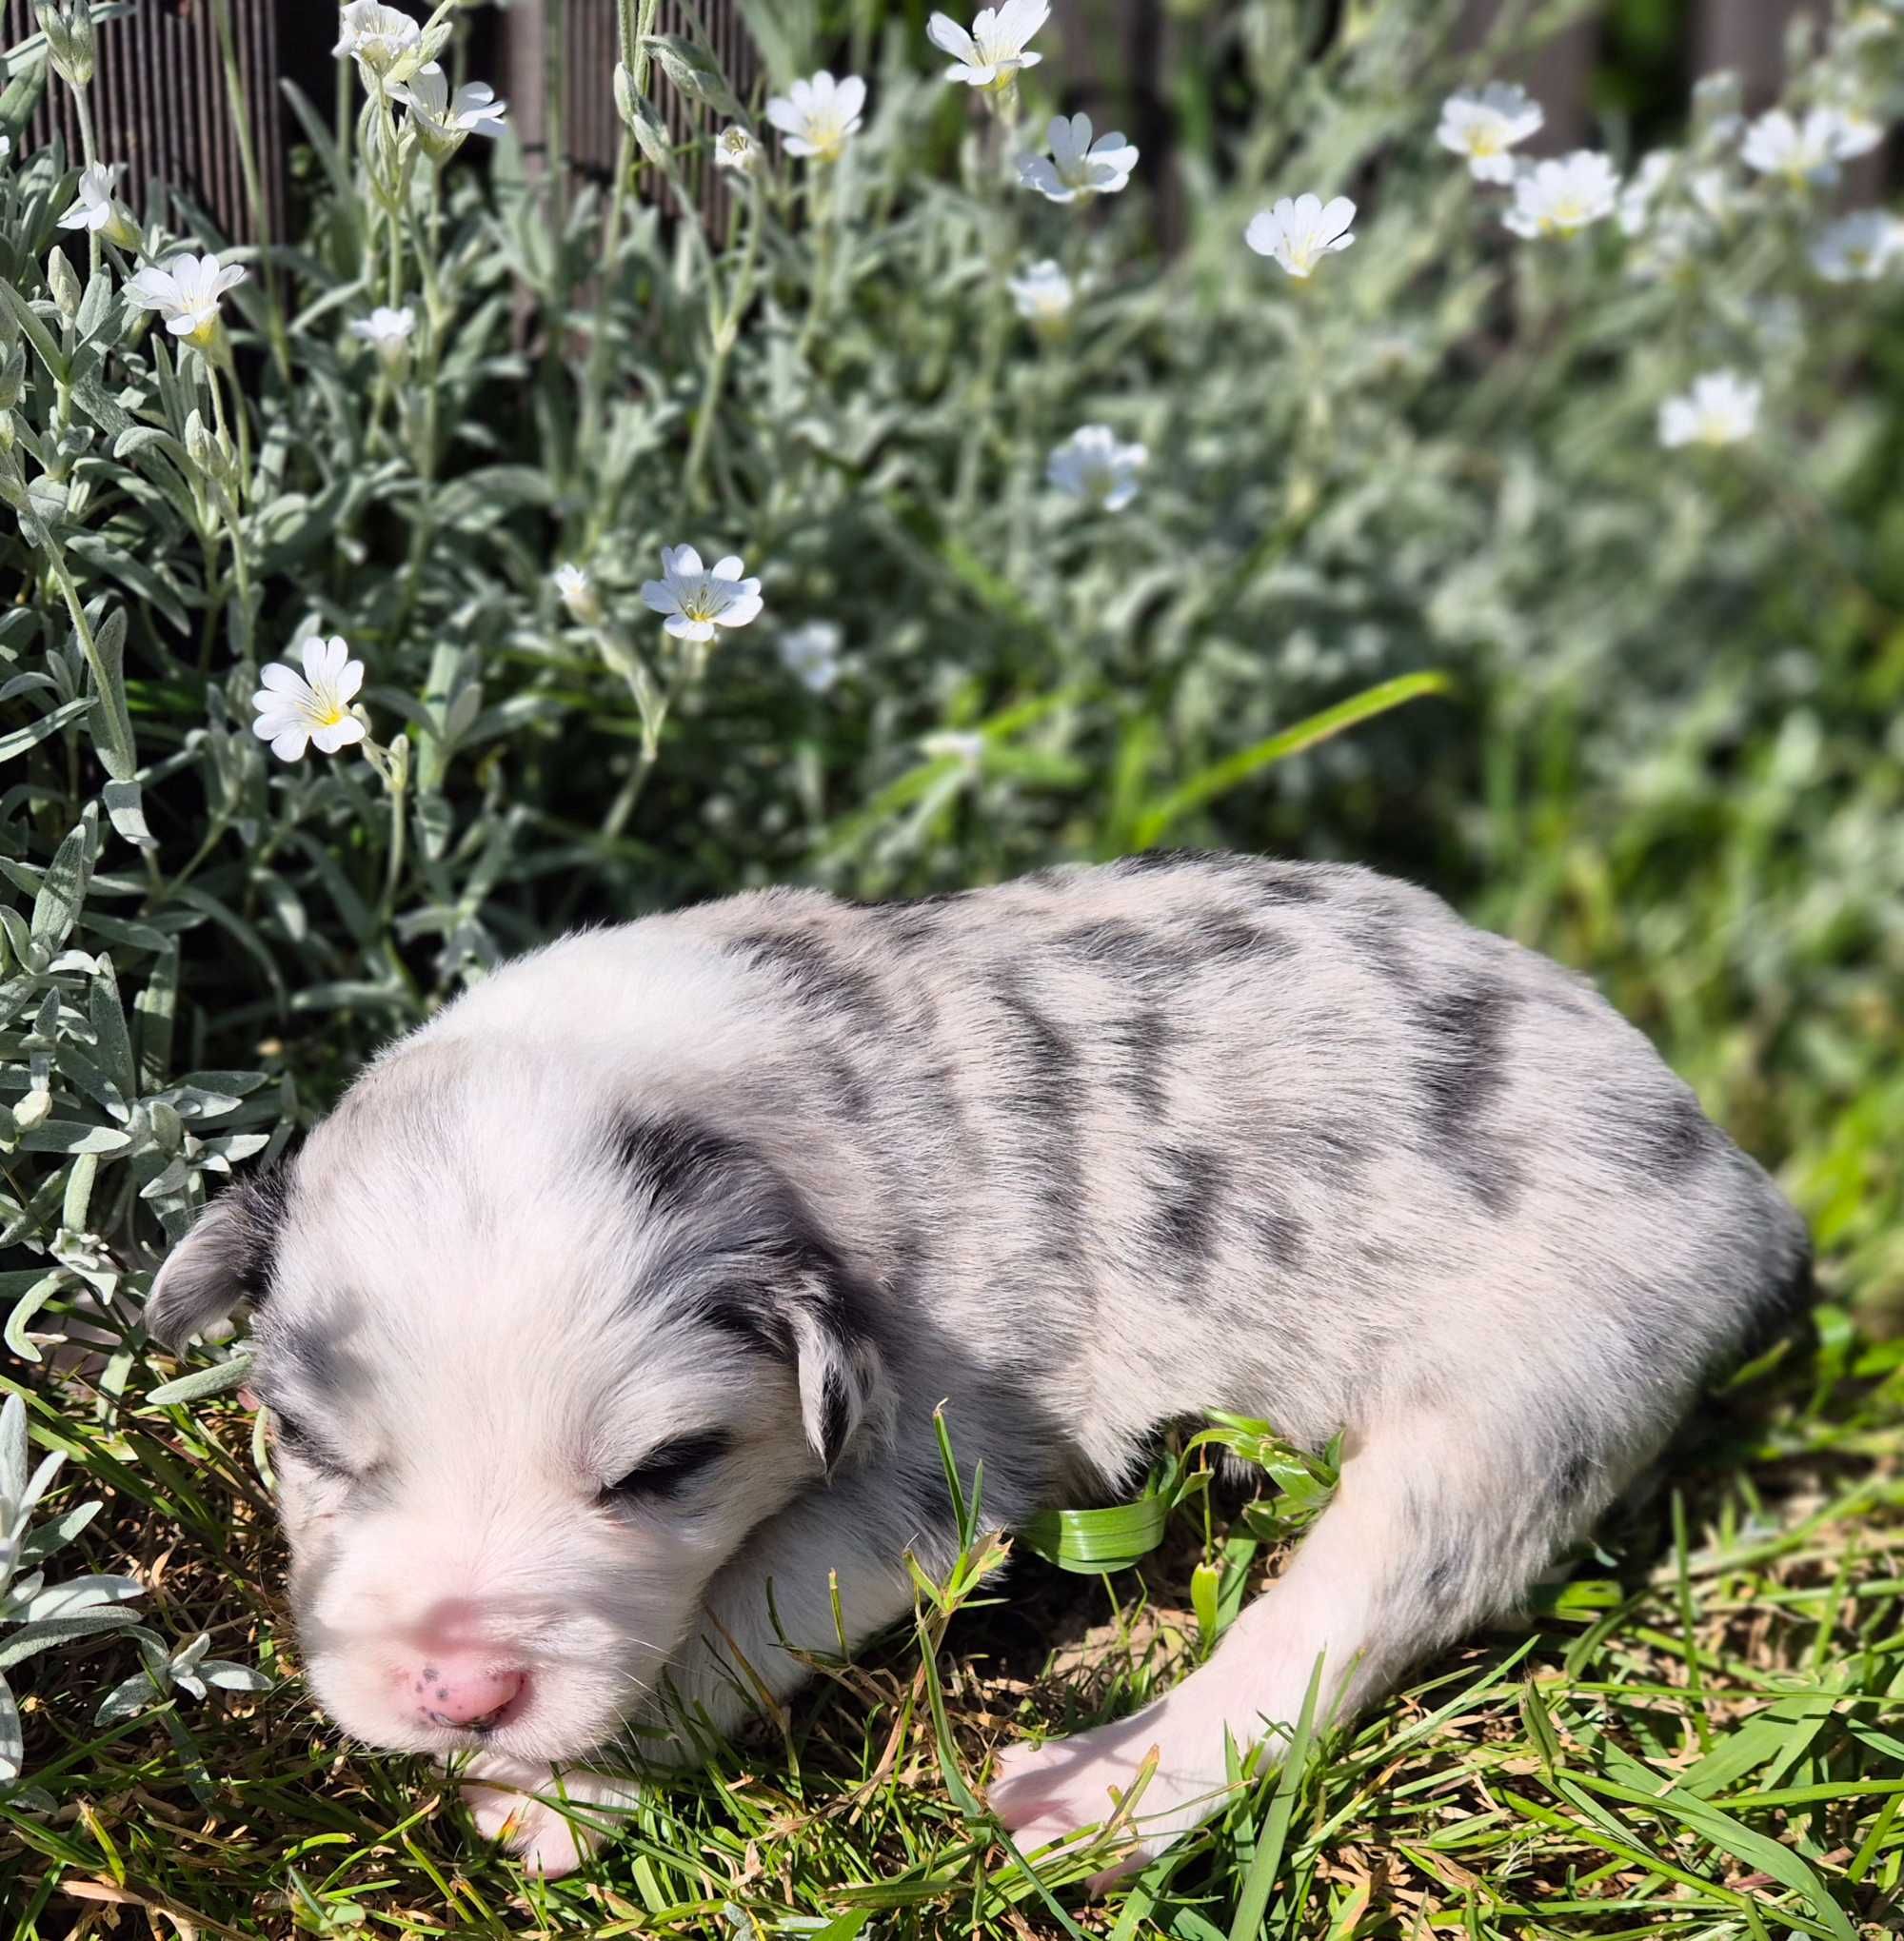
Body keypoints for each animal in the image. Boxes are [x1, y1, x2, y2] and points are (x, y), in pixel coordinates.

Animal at [140, 854, 1809, 1878]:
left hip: (1534, 1383)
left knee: (1355, 1603)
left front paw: (553, 1793)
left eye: (665, 1468)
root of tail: (1729, 1170)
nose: (460, 1688)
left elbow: (736, 1613)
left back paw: (1102, 1784)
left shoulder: (926, 1467)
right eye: (308, 1442)